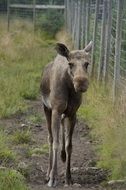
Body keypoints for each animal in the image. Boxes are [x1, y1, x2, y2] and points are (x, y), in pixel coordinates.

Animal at [40, 40, 92, 186]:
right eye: (70, 63)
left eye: (87, 63)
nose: (81, 83)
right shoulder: (56, 111)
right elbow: (56, 143)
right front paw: (52, 178)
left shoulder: (73, 113)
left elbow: (69, 145)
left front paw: (68, 178)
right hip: (46, 109)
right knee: (50, 138)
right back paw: (48, 173)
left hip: (64, 114)